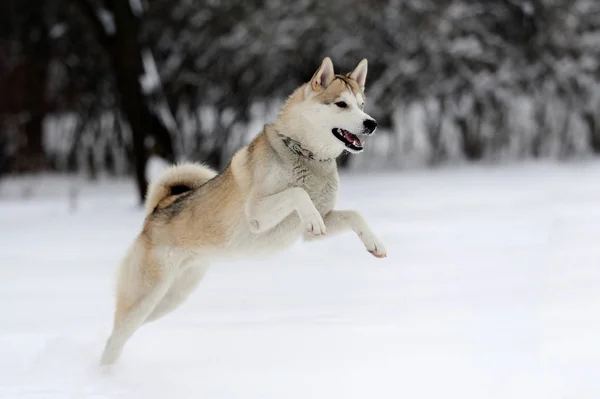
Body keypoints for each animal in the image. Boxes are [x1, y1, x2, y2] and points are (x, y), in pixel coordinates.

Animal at [100, 57, 386, 366]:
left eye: (361, 104)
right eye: (341, 104)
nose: (371, 123)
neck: (305, 155)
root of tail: (156, 211)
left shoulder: (315, 228)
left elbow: (355, 215)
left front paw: (375, 244)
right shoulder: (258, 214)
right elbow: (297, 193)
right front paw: (310, 214)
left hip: (170, 298)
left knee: (118, 335)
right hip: (145, 297)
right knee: (114, 338)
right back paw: (104, 373)